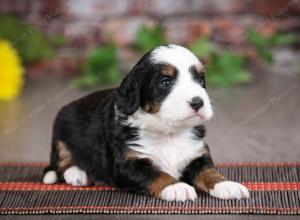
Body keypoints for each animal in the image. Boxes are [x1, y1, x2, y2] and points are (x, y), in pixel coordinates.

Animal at [42, 44, 248, 201]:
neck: (168, 133)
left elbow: (208, 171)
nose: (198, 102)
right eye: (165, 82)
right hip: (60, 131)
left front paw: (227, 185)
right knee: (61, 162)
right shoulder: (128, 164)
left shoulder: (197, 154)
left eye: (200, 79)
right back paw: (77, 174)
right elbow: (155, 174)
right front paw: (177, 187)